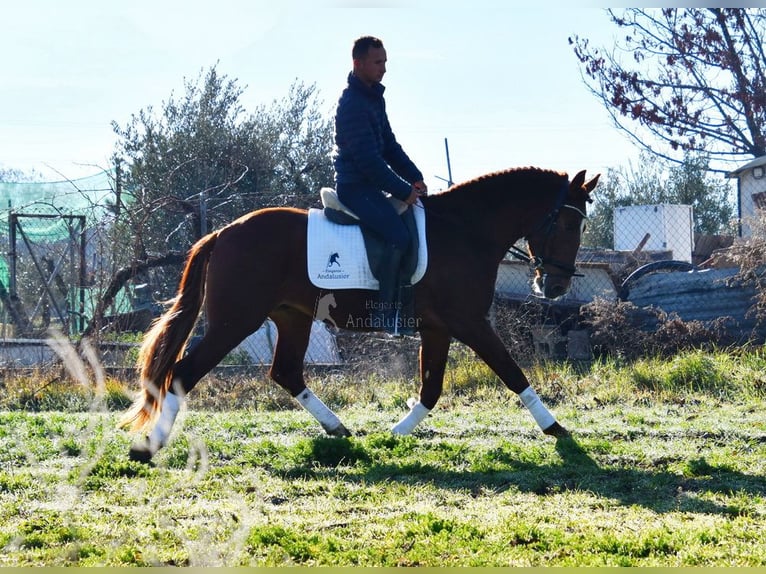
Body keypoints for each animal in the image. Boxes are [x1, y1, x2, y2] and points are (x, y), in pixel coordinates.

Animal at [120, 166, 600, 464]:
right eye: (567, 224)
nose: (556, 287)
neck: (466, 231)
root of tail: (222, 232)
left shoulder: (439, 328)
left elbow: (431, 388)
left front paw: (397, 433)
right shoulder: (469, 323)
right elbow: (510, 371)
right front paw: (555, 427)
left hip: (291, 317)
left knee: (286, 372)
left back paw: (338, 429)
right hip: (235, 321)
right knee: (183, 372)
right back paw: (149, 447)